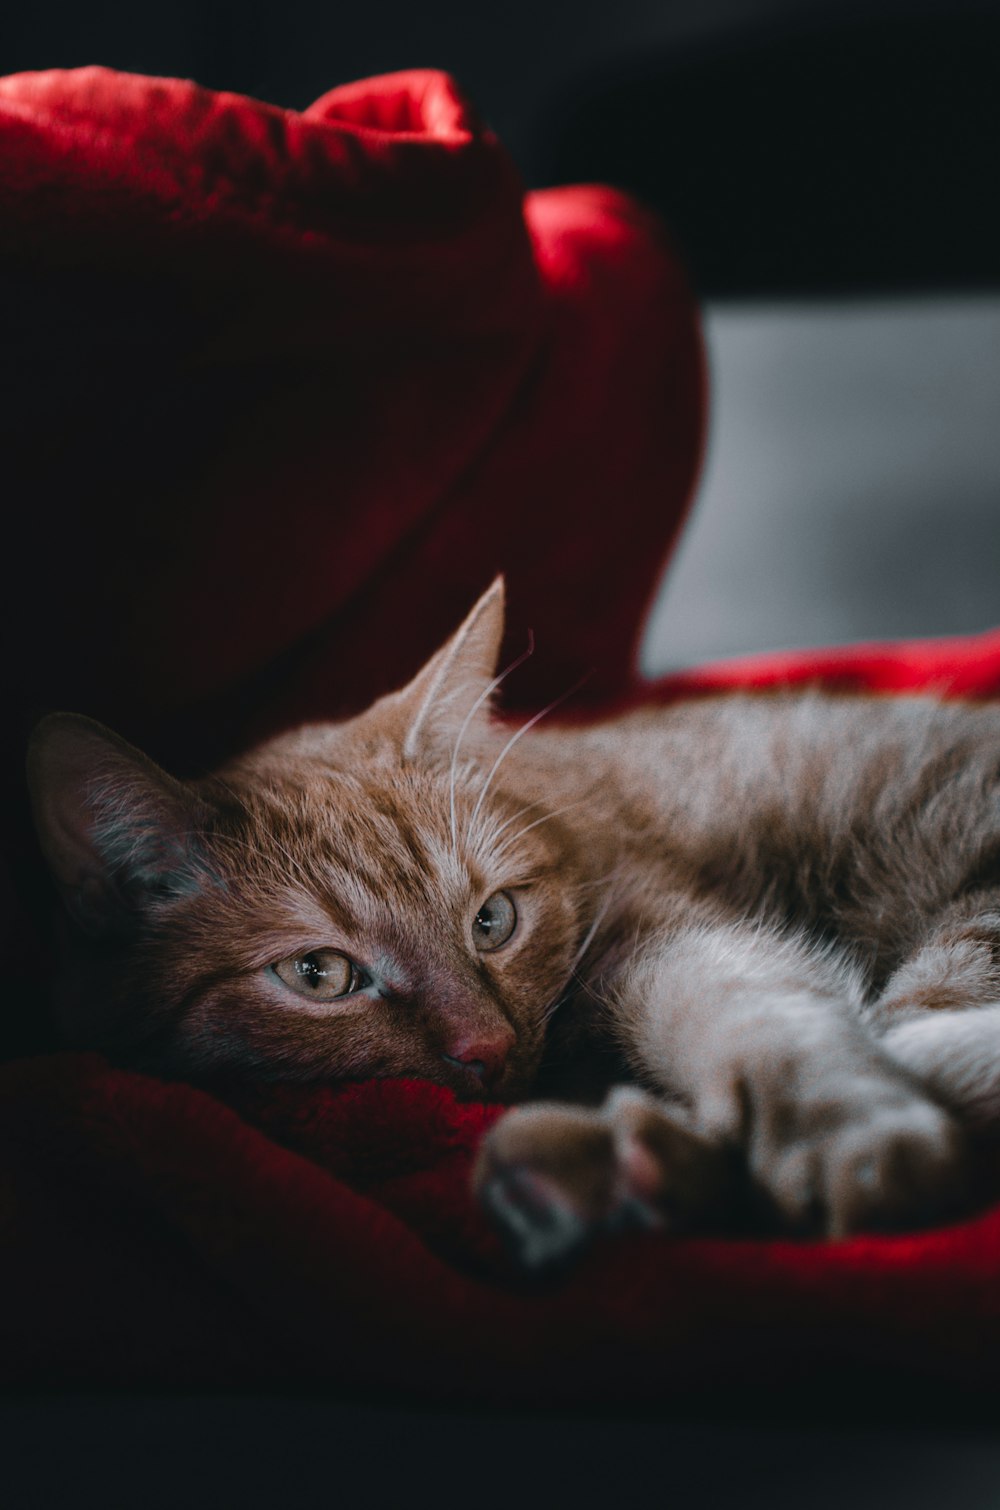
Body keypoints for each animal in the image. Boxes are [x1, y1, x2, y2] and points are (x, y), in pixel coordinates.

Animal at [27, 576, 996, 1262]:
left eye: (491, 920)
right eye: (319, 976)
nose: (487, 1048)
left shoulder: (678, 937)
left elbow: (760, 1018)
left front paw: (849, 1132)